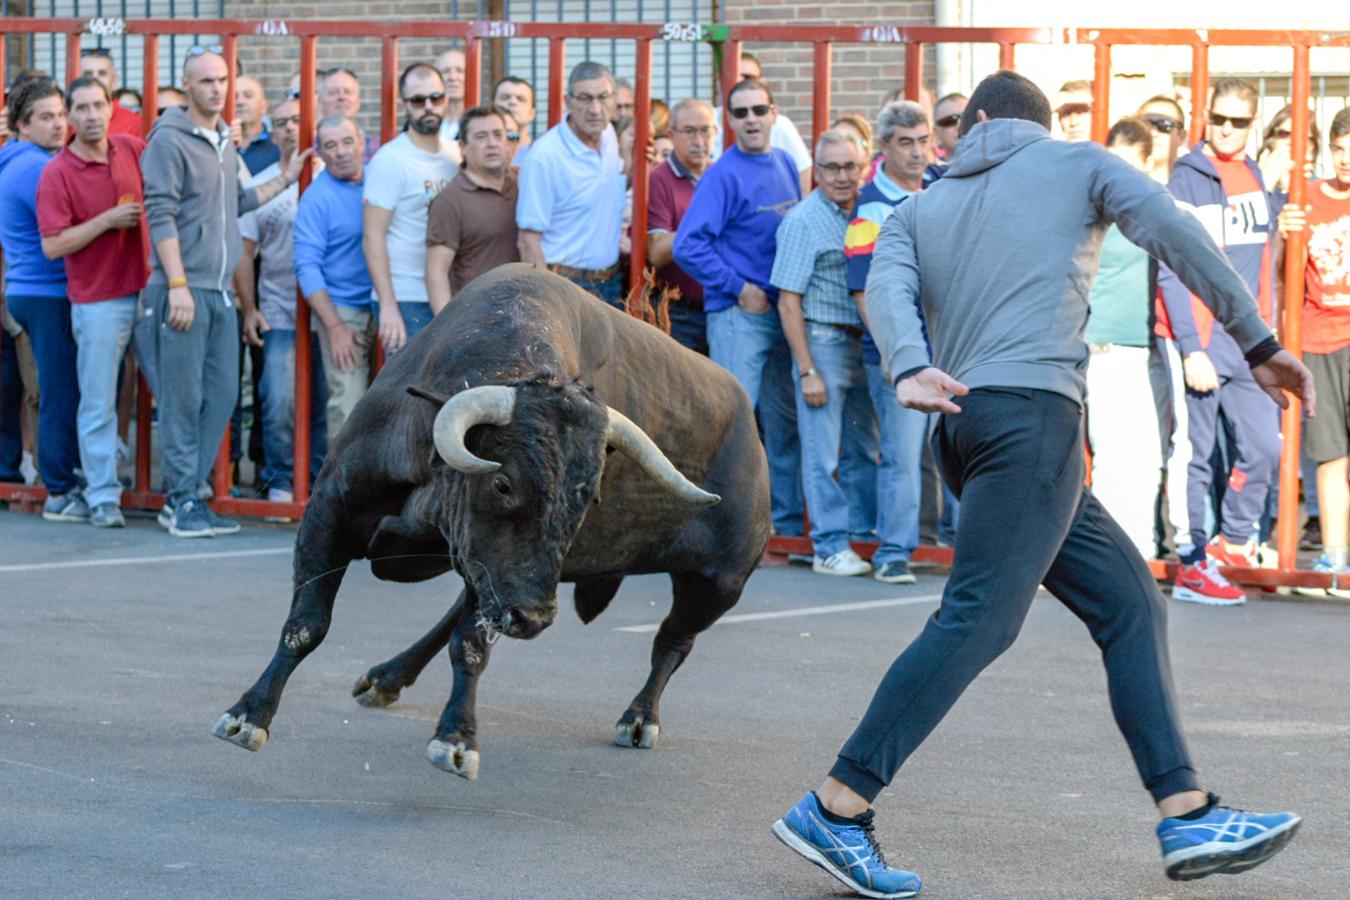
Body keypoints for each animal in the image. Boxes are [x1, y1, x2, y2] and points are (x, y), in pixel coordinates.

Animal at [217, 264, 777, 777]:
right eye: (504, 484)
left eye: (587, 501)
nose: (535, 618)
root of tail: (751, 430)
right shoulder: (332, 508)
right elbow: (306, 624)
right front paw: (249, 714)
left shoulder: (494, 573)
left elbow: (470, 645)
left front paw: (456, 738)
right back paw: (387, 678)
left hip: (717, 584)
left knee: (673, 642)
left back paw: (640, 718)